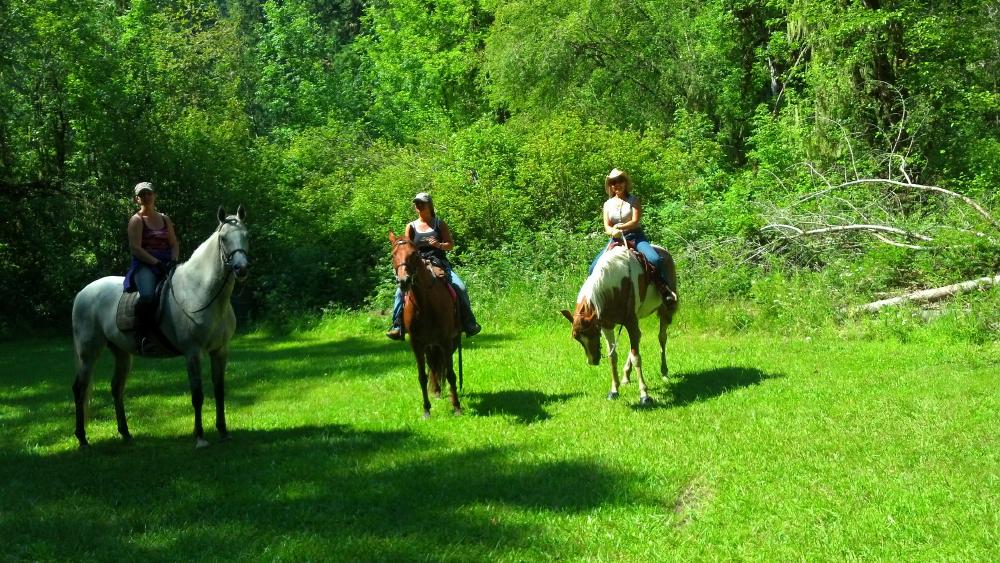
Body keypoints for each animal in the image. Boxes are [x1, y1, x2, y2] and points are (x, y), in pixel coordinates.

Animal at [71, 205, 249, 448]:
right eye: (223, 238)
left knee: (116, 388)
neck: (200, 291)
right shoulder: (193, 353)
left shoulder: (220, 351)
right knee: (80, 389)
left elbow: (219, 391)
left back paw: (126, 434)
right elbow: (197, 395)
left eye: (247, 235)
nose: (241, 268)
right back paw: (82, 439)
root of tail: (84, 292)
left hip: (121, 353)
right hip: (88, 353)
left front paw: (223, 431)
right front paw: (200, 437)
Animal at [389, 231, 462, 418]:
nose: (404, 281)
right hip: (430, 346)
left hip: (450, 342)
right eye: (393, 255)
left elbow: (451, 374)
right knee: (433, 366)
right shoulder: (416, 343)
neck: (425, 303)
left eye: (414, 254)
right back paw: (436, 391)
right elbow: (422, 376)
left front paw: (457, 406)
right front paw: (426, 410)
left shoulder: (445, 341)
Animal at [561, 244, 677, 405]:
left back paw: (664, 372)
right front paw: (614, 390)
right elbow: (613, 357)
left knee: (661, 337)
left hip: (665, 310)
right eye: (578, 339)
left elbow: (636, 358)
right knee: (637, 341)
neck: (616, 287)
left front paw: (644, 395)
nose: (592, 361)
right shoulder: (607, 326)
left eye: (593, 333)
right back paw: (626, 376)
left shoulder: (630, 321)